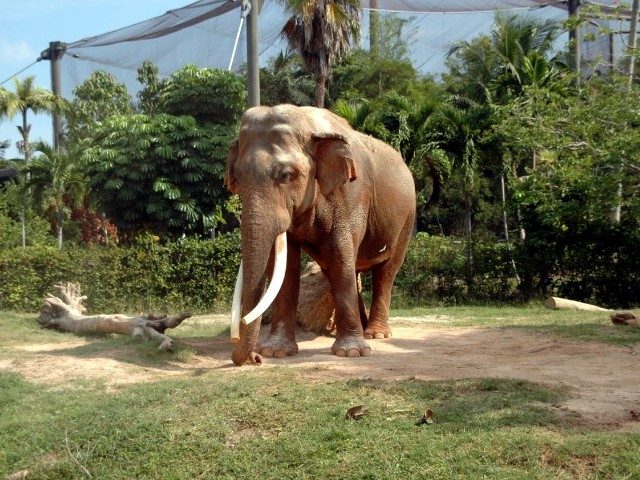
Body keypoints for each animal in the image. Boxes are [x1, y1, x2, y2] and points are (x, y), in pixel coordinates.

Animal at [225, 105, 416, 366]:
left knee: (385, 271)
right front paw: (276, 352)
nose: (255, 358)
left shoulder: (351, 194)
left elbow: (340, 252)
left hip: (407, 219)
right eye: (237, 177)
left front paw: (351, 353)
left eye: (286, 175)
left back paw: (376, 334)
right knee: (342, 269)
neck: (308, 124)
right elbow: (288, 266)